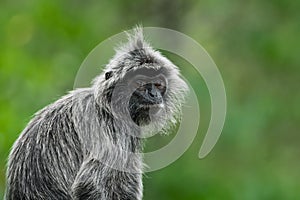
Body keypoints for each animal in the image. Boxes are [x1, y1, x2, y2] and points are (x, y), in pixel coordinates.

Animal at [4, 27, 188, 200]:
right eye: (141, 84)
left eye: (158, 85)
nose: (154, 95)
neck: (109, 106)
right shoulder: (109, 127)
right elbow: (89, 182)